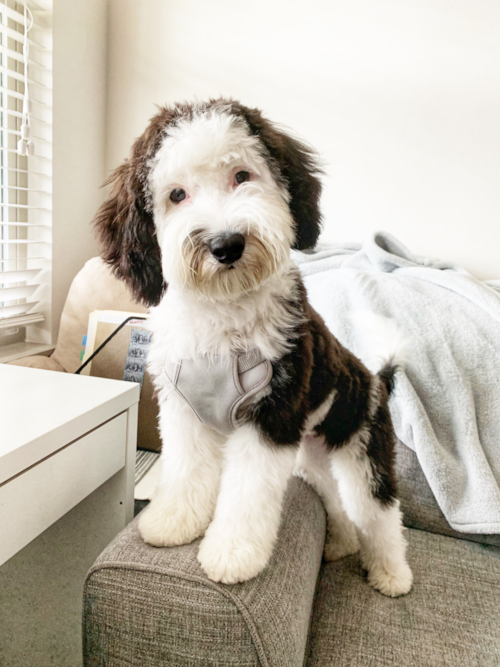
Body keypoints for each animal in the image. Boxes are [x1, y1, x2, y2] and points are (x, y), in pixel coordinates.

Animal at [94, 99, 414, 600]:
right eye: (177, 195)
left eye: (242, 175)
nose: (226, 244)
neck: (224, 313)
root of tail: (376, 378)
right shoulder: (184, 410)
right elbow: (185, 469)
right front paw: (172, 522)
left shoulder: (271, 418)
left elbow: (247, 495)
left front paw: (232, 554)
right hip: (311, 454)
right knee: (335, 502)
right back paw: (339, 545)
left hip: (363, 444)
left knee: (378, 511)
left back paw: (392, 575)